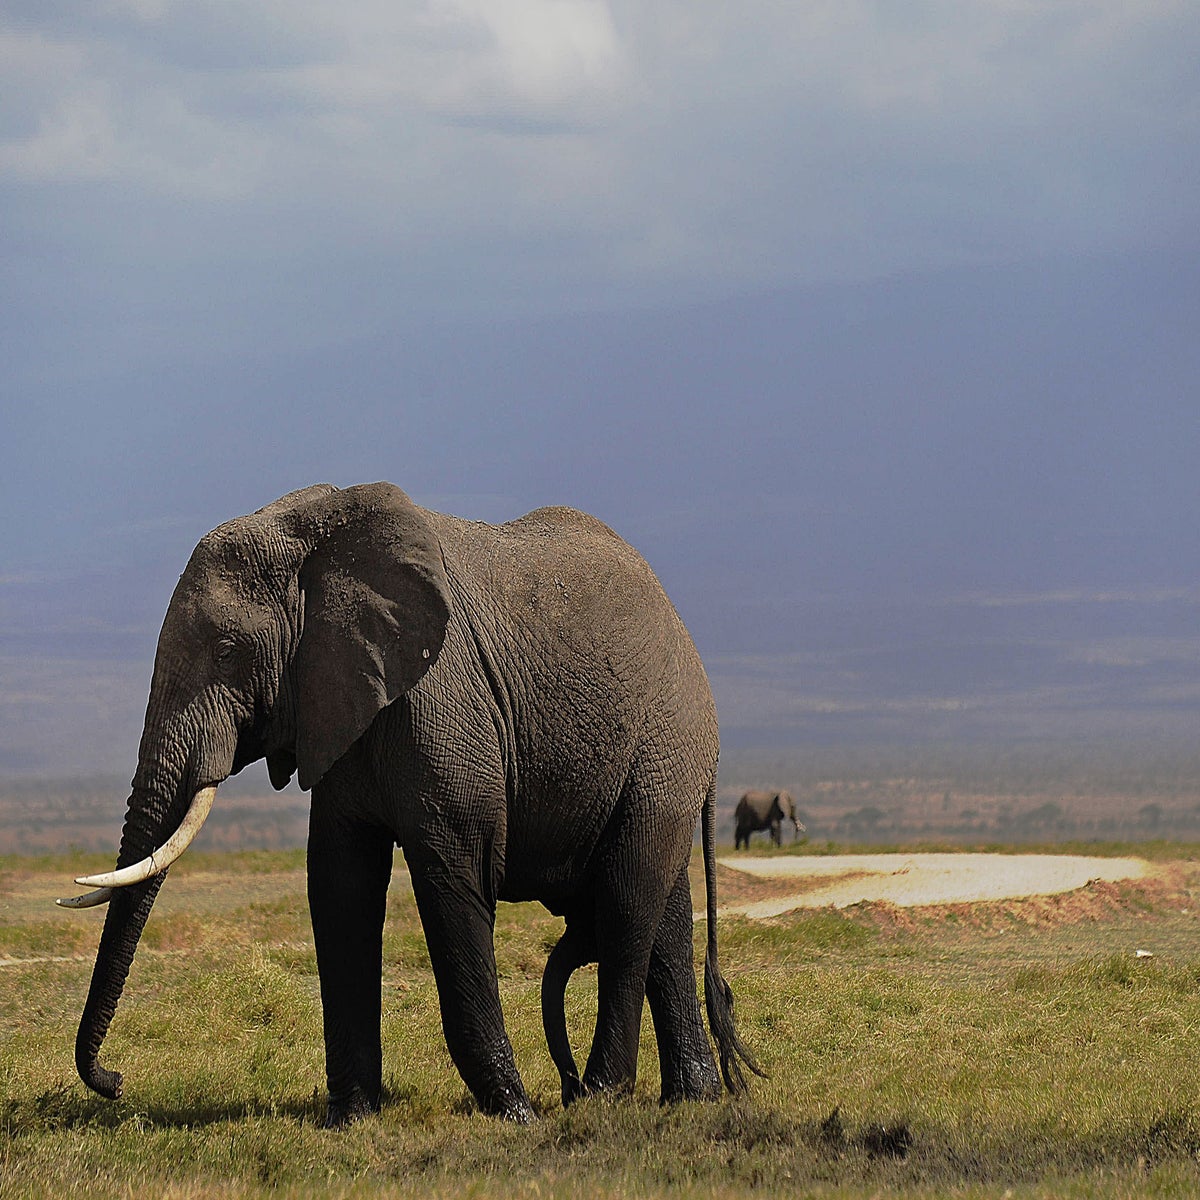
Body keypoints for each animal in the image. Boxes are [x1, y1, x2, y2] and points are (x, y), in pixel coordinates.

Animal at [60, 480, 753, 1123]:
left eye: (229, 652)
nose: (115, 1082)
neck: (318, 538)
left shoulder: (440, 702)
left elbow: (455, 875)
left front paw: (514, 1114)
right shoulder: (339, 705)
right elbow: (339, 885)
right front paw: (350, 1120)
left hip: (664, 746)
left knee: (628, 900)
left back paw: (603, 1096)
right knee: (661, 909)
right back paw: (690, 1098)